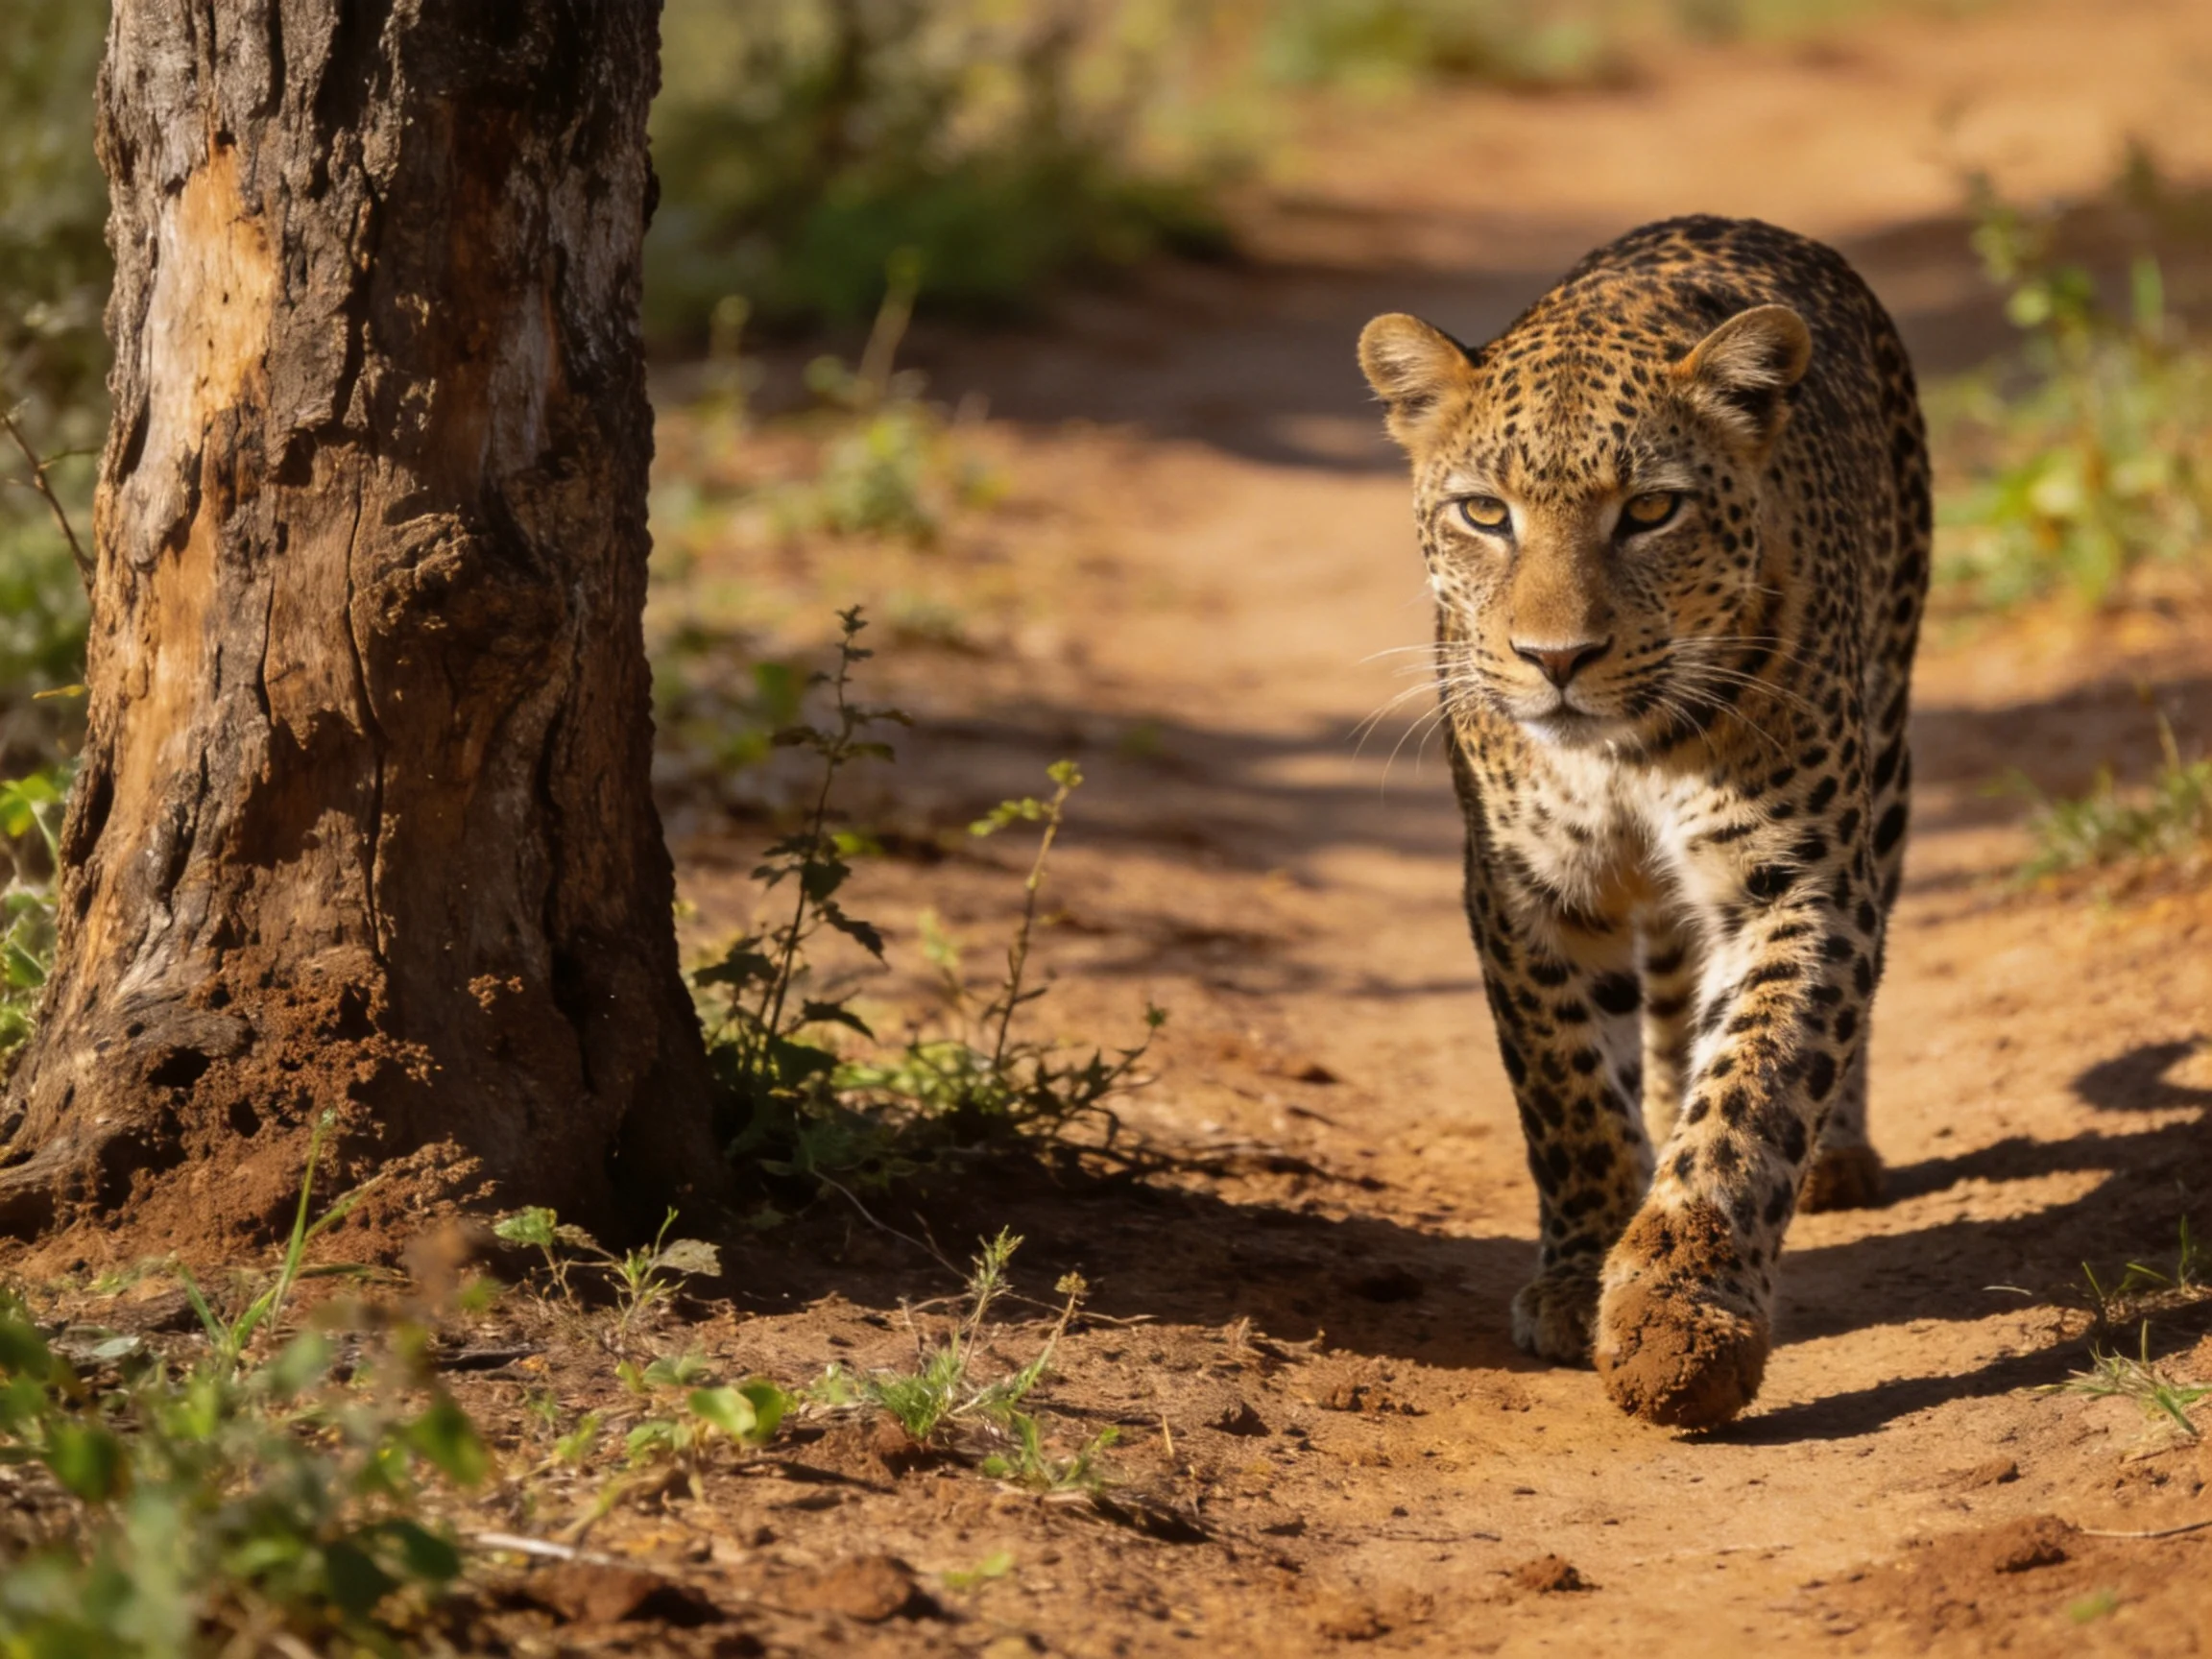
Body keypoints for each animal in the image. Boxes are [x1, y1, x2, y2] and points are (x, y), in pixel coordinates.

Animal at [1357, 215, 1928, 1430]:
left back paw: (1838, 1156)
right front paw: (1581, 1278)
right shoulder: (1524, 887)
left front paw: (1679, 1309)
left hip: (1889, 737)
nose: (1557, 659)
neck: (1625, 755)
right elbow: (1567, 1086)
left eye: (1652, 510)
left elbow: (1758, 1084)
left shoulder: (1799, 878)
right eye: (1485, 512)